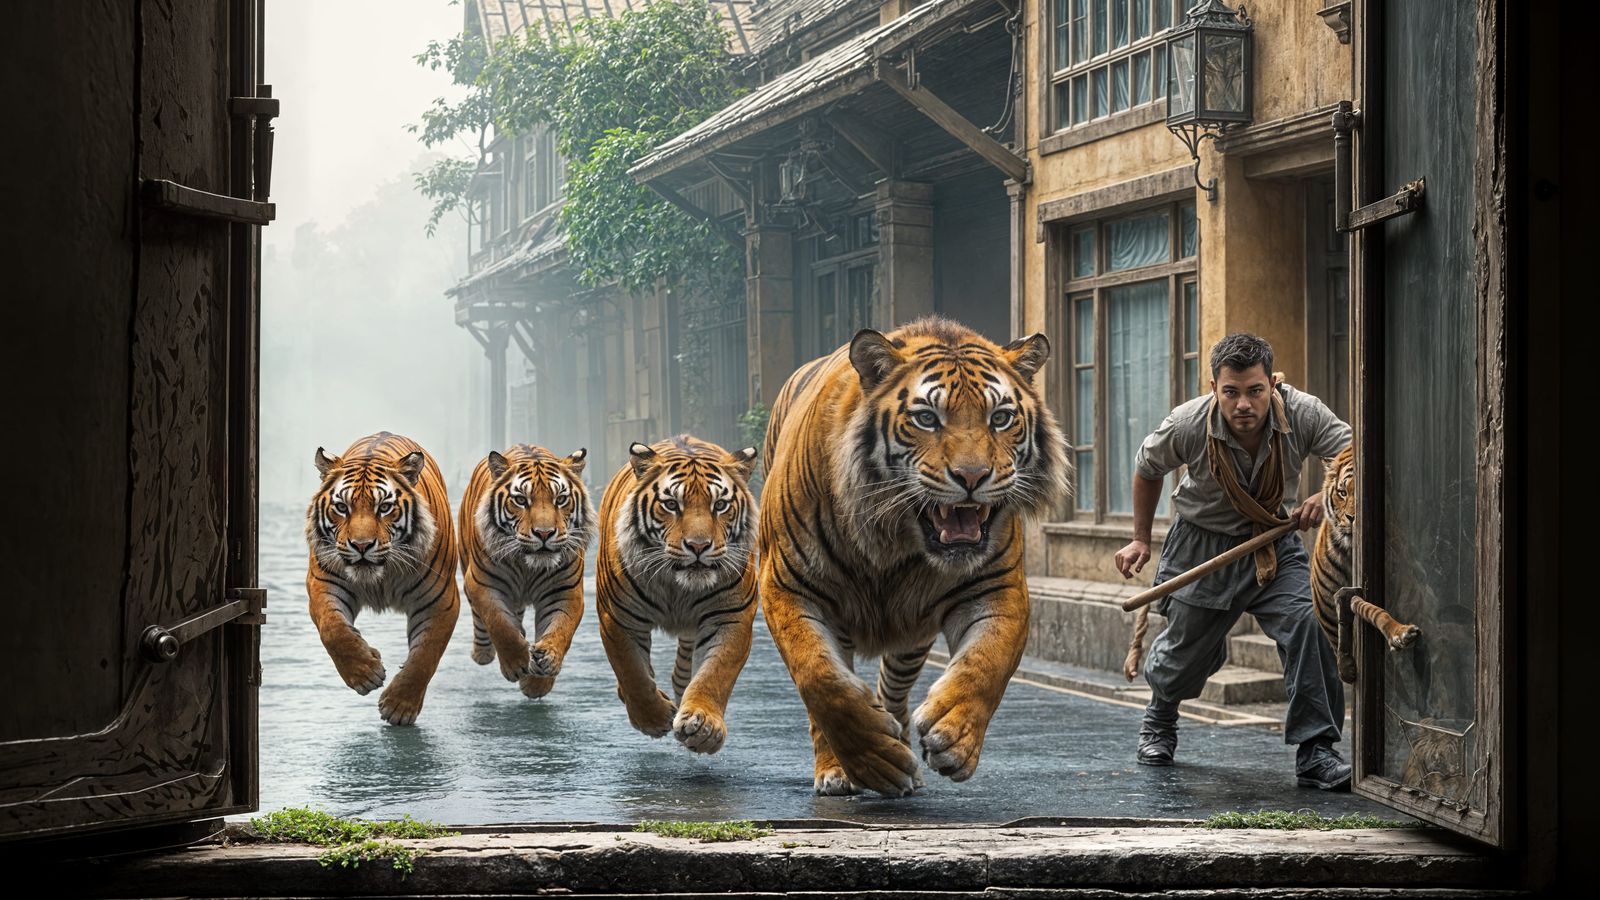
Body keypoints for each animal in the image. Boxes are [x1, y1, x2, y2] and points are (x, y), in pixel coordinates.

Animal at [304, 431, 460, 726]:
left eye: (385, 507)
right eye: (341, 507)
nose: (361, 545)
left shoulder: (440, 600)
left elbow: (426, 654)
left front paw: (399, 706)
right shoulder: (325, 584)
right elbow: (334, 630)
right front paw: (366, 673)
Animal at [457, 444, 593, 699]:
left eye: (561, 499)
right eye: (520, 500)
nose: (544, 533)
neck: (528, 566)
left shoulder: (565, 591)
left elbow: (561, 629)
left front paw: (540, 678)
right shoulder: (483, 584)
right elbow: (498, 622)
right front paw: (517, 663)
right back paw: (483, 653)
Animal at [595, 435, 759, 754]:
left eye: (720, 505)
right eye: (671, 504)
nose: (698, 546)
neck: (677, 587)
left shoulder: (731, 617)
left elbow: (716, 671)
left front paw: (703, 726)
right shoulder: (618, 617)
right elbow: (631, 670)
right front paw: (653, 718)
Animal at [758, 316, 1072, 796]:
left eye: (1000, 418)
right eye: (927, 418)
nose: (972, 476)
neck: (895, 540)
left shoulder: (998, 587)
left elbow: (987, 663)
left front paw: (954, 735)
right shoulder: (785, 585)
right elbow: (820, 677)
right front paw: (874, 759)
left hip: (911, 632)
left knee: (893, 687)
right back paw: (838, 769)